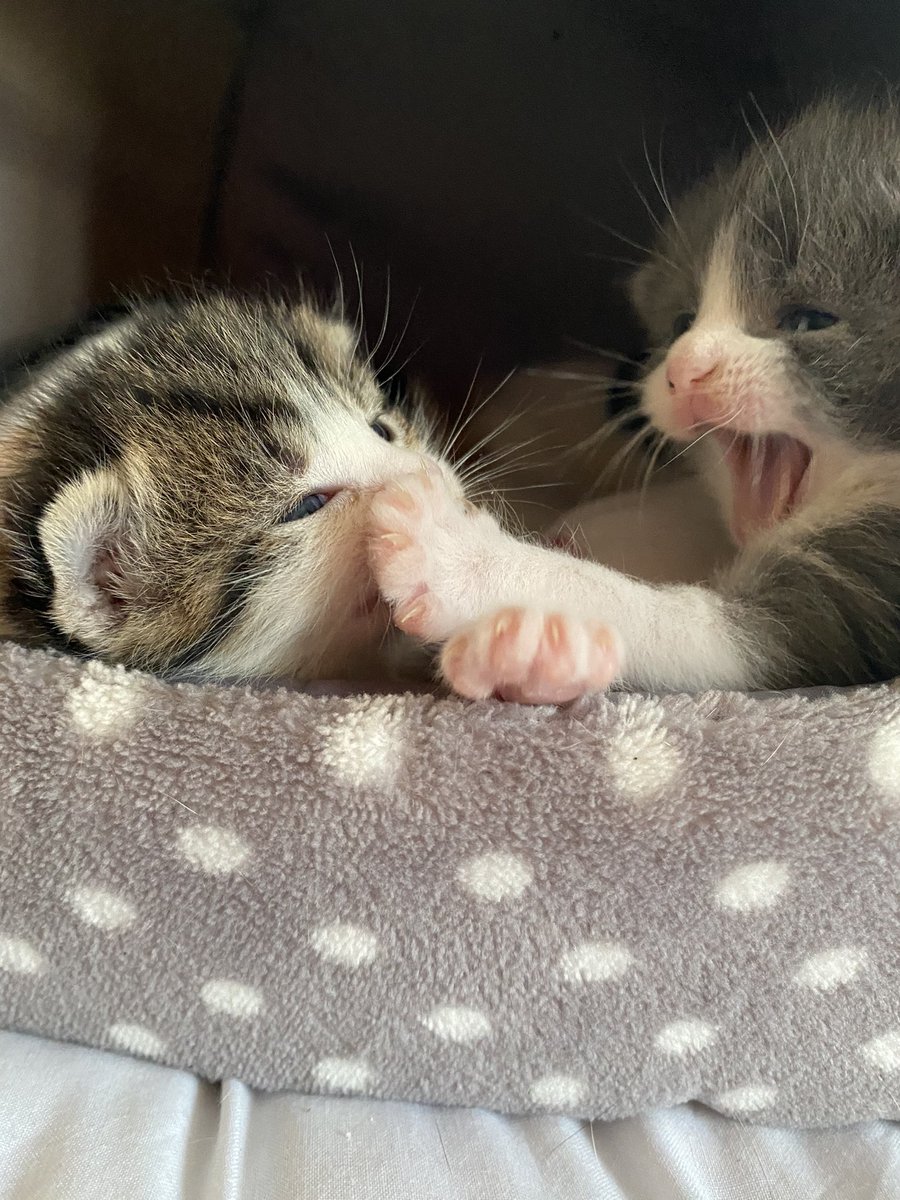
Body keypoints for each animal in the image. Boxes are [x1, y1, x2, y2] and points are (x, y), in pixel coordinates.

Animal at [367, 100, 900, 700]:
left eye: (809, 319)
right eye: (682, 324)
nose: (686, 371)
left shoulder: (866, 593)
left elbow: (700, 630)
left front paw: (462, 558)